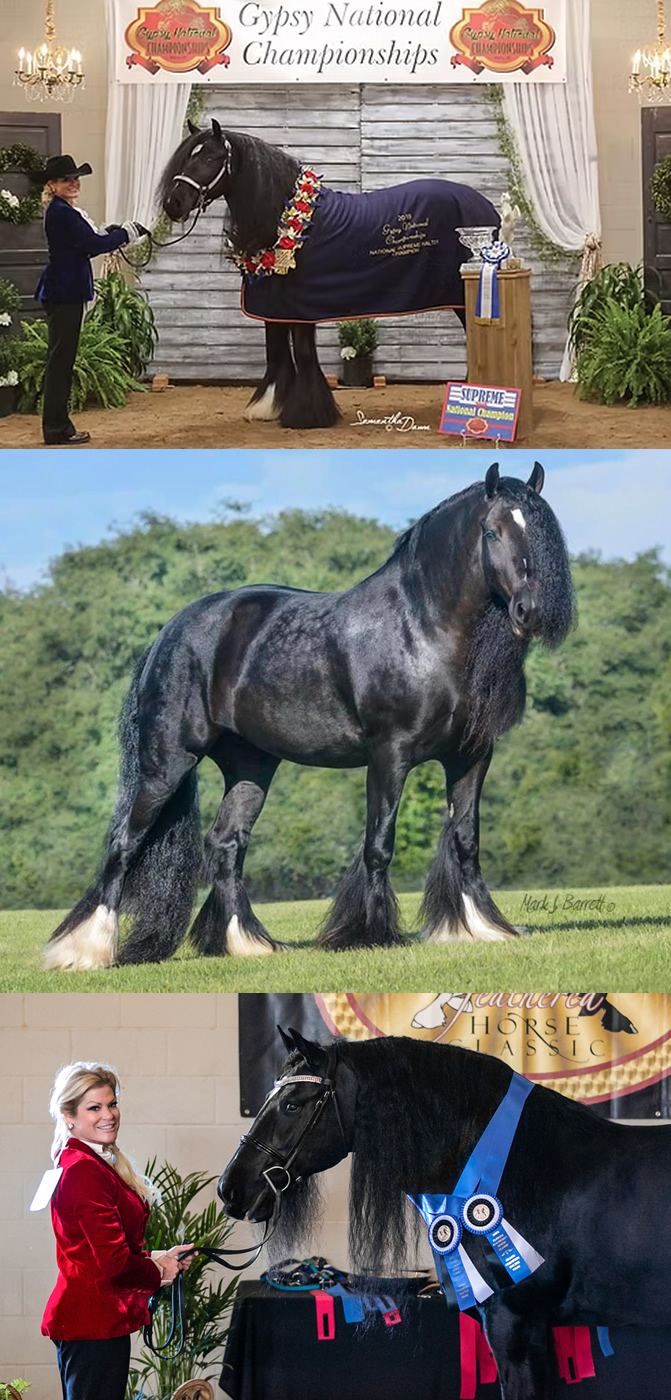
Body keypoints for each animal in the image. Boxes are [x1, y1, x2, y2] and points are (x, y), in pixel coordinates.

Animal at [44, 461, 573, 970]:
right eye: (492, 531)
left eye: (540, 529)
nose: (529, 610)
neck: (422, 630)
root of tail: (170, 631)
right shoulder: (390, 754)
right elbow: (379, 843)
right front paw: (369, 934)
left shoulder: (471, 756)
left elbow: (465, 838)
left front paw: (478, 928)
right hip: (167, 763)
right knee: (125, 842)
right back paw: (84, 951)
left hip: (251, 767)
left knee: (226, 844)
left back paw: (245, 944)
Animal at [157, 118, 501, 430]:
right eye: (187, 157)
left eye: (210, 159)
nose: (173, 203)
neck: (283, 221)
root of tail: (484, 206)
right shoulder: (274, 305)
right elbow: (276, 351)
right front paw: (268, 408)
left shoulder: (300, 307)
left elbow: (304, 353)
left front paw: (307, 416)